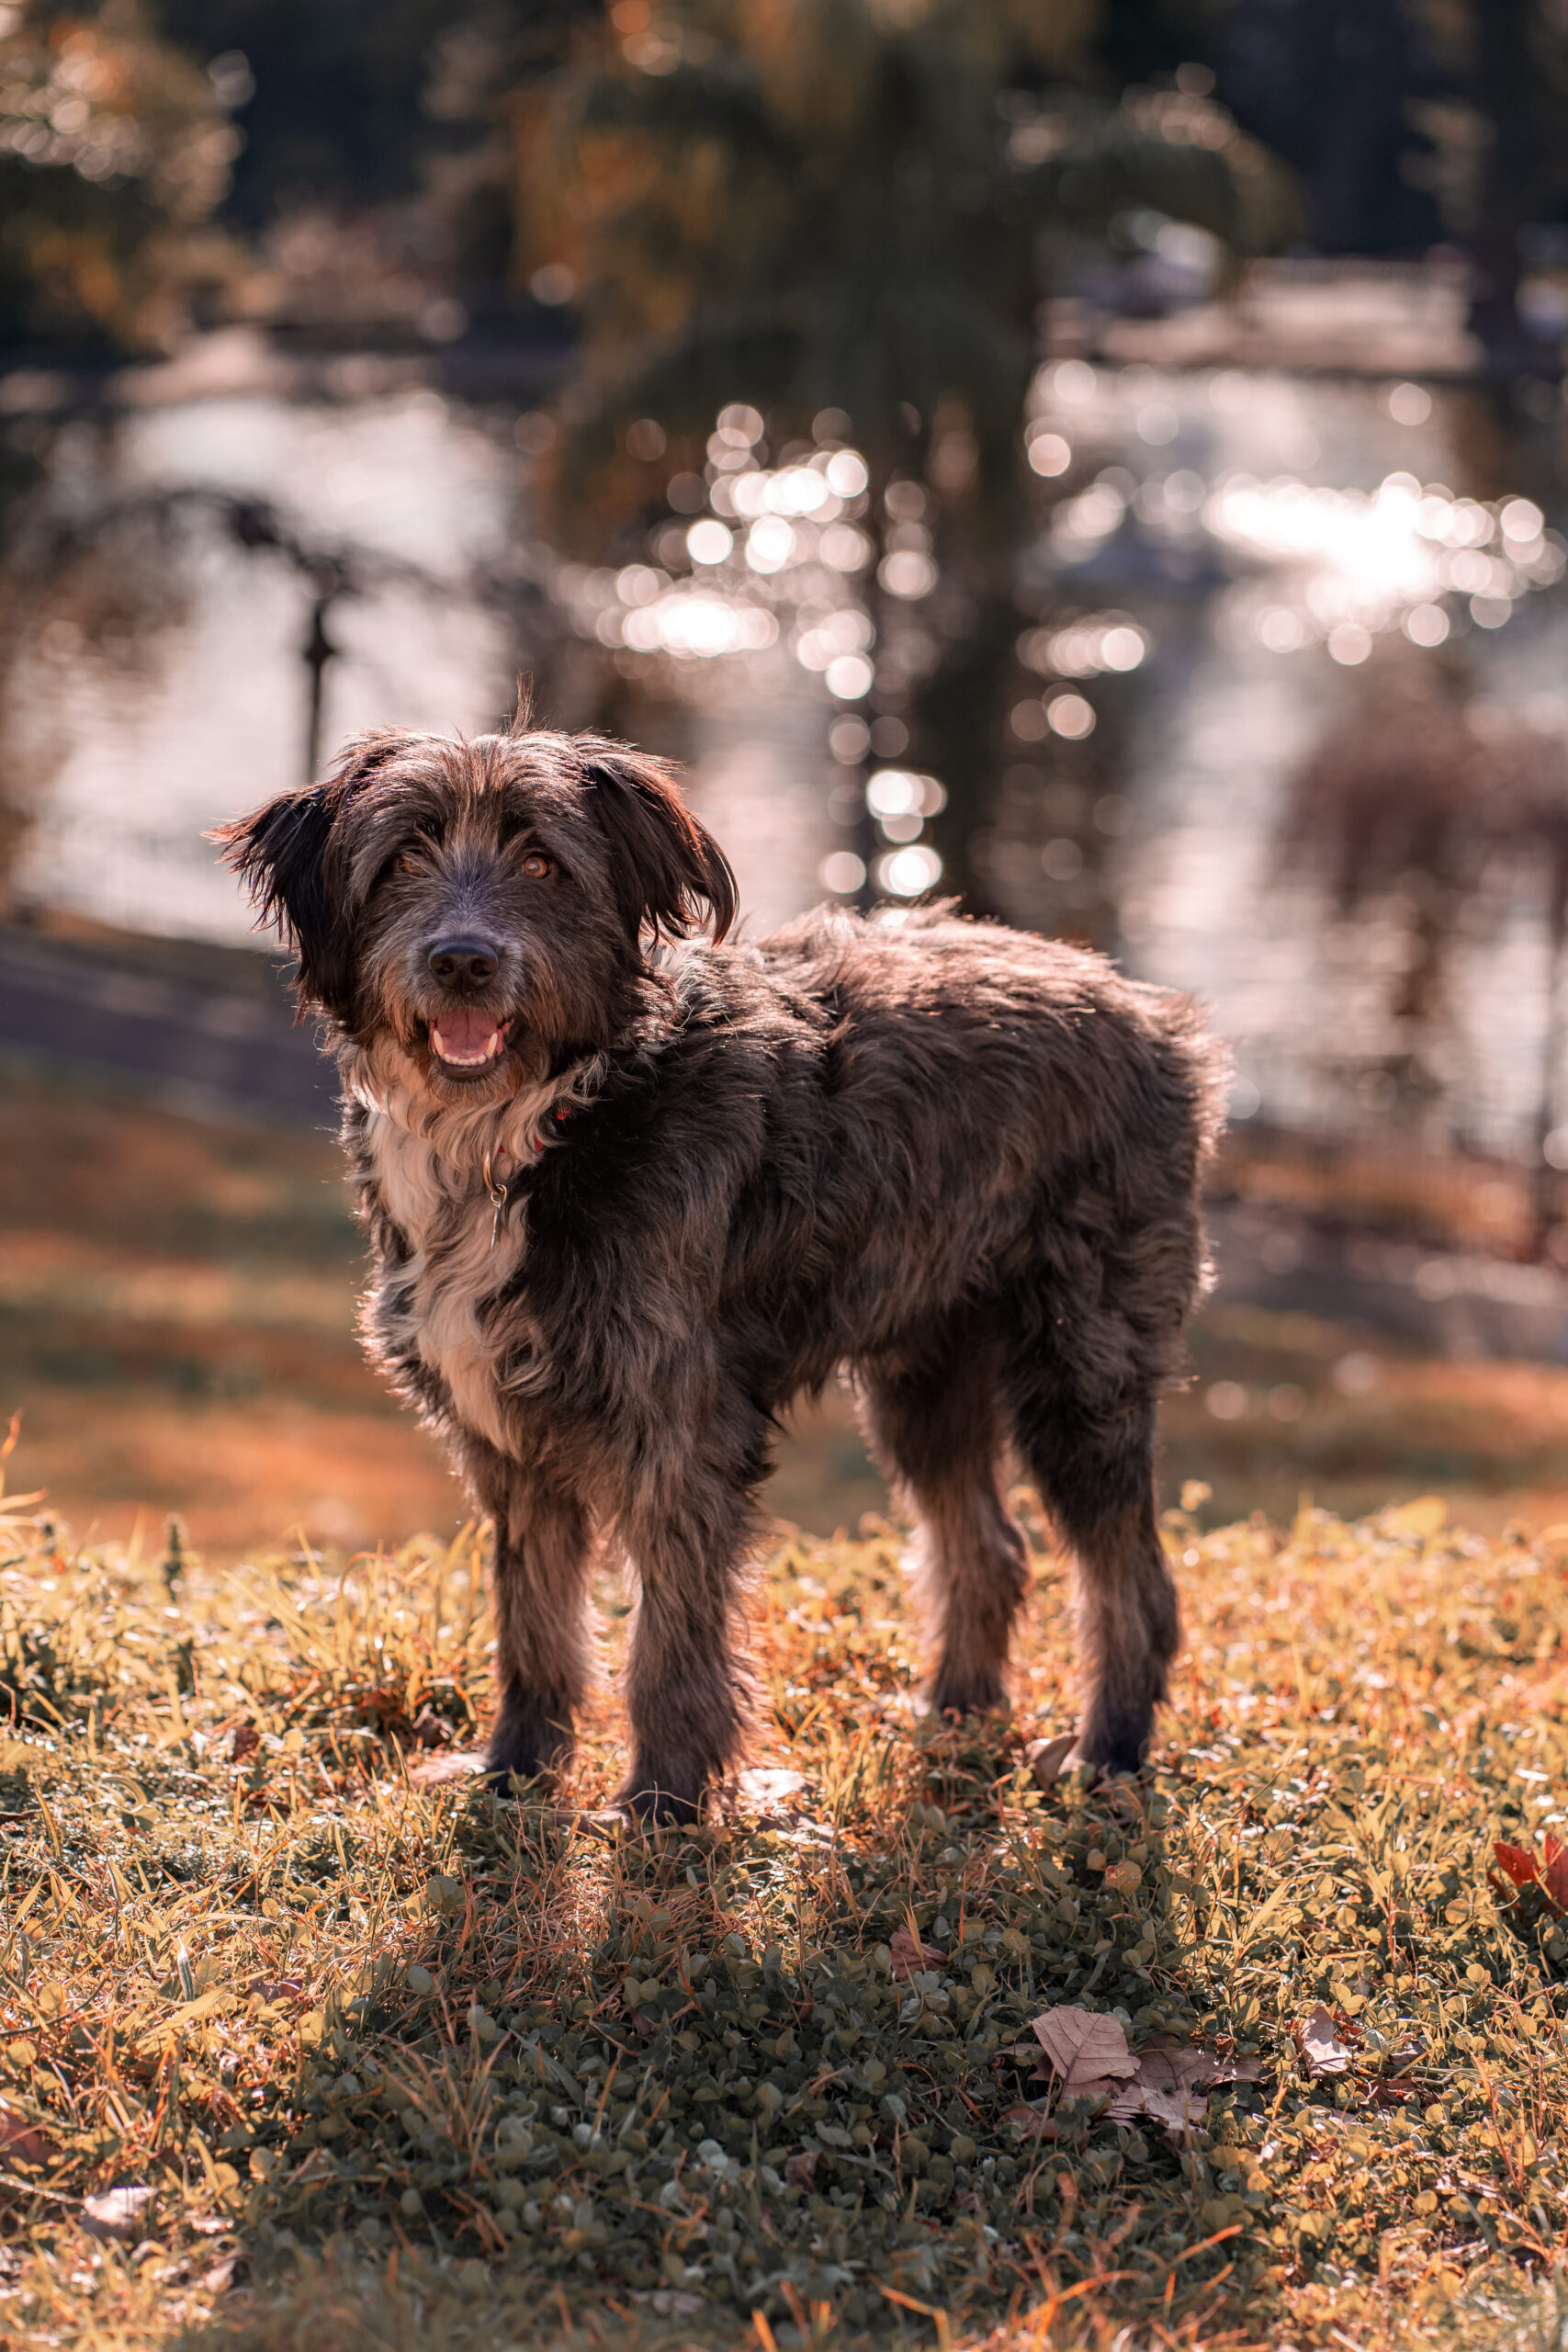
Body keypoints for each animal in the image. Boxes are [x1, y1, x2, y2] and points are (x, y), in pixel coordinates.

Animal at [217, 715, 1222, 1815]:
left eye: (541, 861)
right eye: (402, 857)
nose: (464, 961)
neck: (543, 1127)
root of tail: (1147, 1010)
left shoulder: (677, 1427)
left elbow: (672, 1641)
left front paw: (664, 1804)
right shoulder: (510, 1442)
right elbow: (534, 1622)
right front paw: (517, 1771)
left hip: (1078, 1371)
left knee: (1133, 1580)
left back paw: (1109, 1750)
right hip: (924, 1374)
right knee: (987, 1548)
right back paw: (954, 1712)